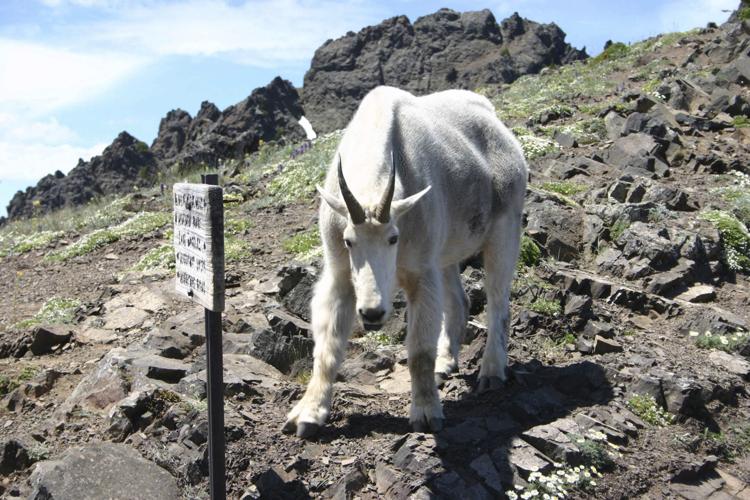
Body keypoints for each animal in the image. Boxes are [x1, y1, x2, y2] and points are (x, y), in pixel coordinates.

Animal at [283, 86, 527, 437]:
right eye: (348, 240)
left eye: (393, 239)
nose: (372, 313)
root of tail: (495, 120)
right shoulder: (341, 272)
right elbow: (328, 346)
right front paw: (308, 414)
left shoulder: (420, 271)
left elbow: (419, 349)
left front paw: (426, 413)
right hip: (446, 251)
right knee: (459, 301)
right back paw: (445, 363)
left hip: (505, 226)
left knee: (498, 302)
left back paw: (492, 371)